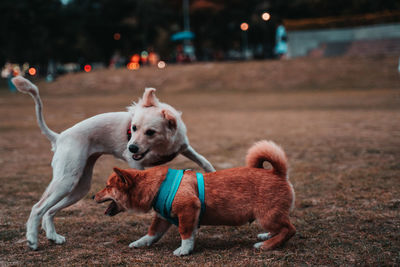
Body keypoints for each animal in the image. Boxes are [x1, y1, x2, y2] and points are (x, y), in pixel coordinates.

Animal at [10, 76, 216, 251]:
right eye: (133, 128)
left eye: (150, 132)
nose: (131, 147)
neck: (160, 145)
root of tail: (59, 137)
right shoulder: (134, 161)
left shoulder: (183, 147)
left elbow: (203, 161)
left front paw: (212, 174)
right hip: (66, 180)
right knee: (38, 208)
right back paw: (32, 240)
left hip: (79, 187)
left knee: (49, 211)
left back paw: (53, 236)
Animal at [94, 141, 294, 256]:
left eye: (108, 186)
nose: (92, 195)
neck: (158, 184)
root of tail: (278, 173)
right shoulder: (162, 218)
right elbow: (151, 233)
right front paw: (140, 243)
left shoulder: (188, 209)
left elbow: (185, 233)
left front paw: (184, 250)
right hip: (268, 217)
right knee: (282, 228)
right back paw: (267, 235)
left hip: (267, 216)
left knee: (289, 229)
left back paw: (266, 245)